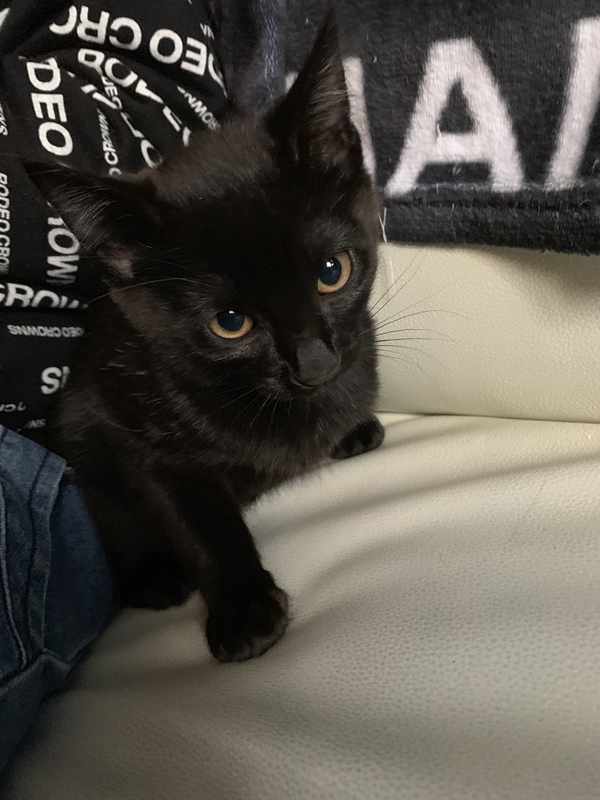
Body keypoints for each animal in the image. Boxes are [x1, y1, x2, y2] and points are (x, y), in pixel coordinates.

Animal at [25, 15, 384, 663]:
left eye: (332, 271)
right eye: (230, 323)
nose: (315, 364)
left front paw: (352, 425)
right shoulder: (143, 446)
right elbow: (200, 524)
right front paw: (244, 610)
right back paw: (157, 579)